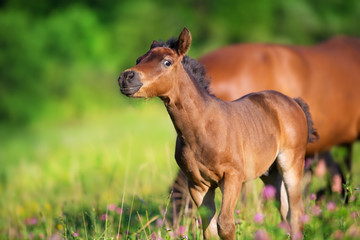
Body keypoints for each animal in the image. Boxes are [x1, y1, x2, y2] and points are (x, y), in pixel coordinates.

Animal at [119, 27, 318, 240]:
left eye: (167, 62)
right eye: (139, 59)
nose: (126, 77)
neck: (202, 129)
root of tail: (293, 102)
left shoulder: (232, 177)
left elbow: (225, 225)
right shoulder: (198, 185)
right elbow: (209, 229)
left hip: (291, 164)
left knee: (296, 213)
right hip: (270, 173)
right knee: (284, 210)